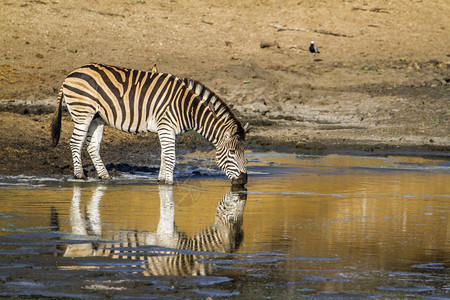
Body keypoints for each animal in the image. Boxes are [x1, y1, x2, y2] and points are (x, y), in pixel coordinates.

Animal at [52, 63, 250, 185]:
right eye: (232, 152)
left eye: (243, 153)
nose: (244, 181)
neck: (186, 107)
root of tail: (69, 75)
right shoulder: (166, 126)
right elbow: (170, 157)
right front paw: (169, 183)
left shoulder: (170, 131)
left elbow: (164, 156)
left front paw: (161, 180)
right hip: (83, 112)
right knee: (75, 142)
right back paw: (79, 175)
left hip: (97, 117)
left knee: (92, 146)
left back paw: (104, 176)